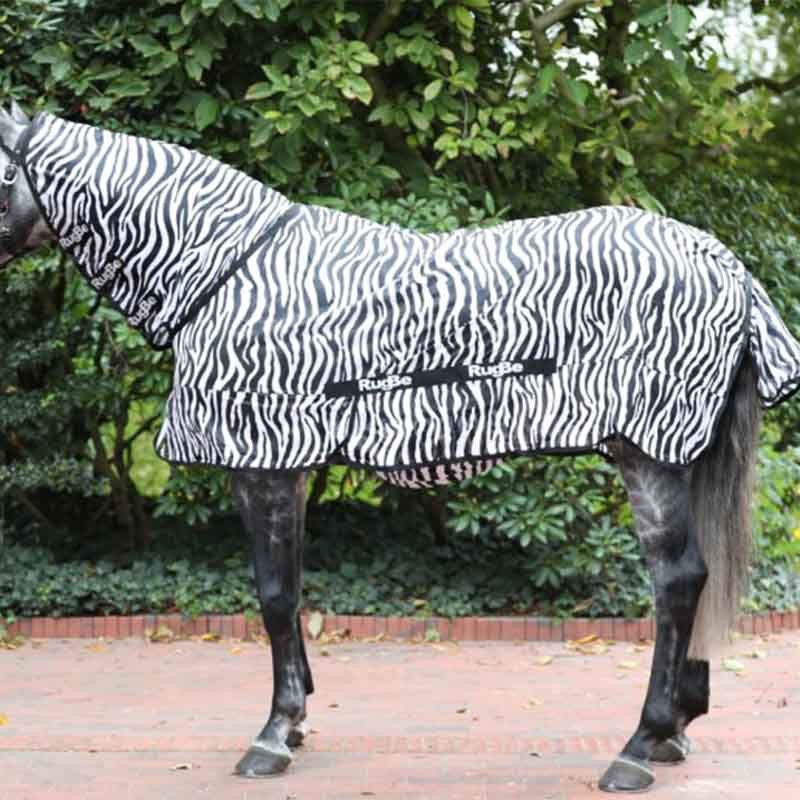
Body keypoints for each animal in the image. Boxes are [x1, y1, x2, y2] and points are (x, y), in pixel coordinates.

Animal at [2, 101, 799, 793]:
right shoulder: (287, 467)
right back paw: (672, 734)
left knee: (678, 582)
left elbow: (272, 595)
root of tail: (720, 261)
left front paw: (272, 735)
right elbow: (292, 590)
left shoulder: (261, 464)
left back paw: (637, 746)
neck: (226, 272)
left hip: (648, 455)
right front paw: (296, 721)